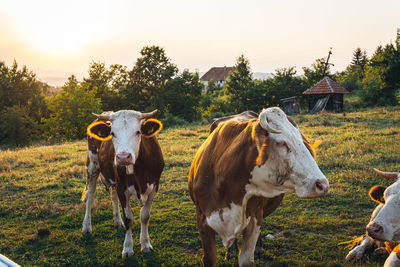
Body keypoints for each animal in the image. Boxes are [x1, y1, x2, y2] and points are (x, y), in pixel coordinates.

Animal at [81, 110, 164, 258]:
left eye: (138, 132)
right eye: (112, 133)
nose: (123, 157)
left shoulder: (154, 186)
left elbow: (145, 216)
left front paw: (145, 244)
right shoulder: (121, 188)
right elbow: (129, 218)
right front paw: (128, 248)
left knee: (112, 196)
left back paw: (117, 221)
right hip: (92, 166)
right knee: (90, 195)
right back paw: (87, 226)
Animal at [189, 107, 330, 267]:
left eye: (301, 140)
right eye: (282, 143)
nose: (322, 185)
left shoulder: (255, 216)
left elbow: (246, 259)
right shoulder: (202, 218)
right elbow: (209, 258)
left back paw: (258, 249)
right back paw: (231, 251)